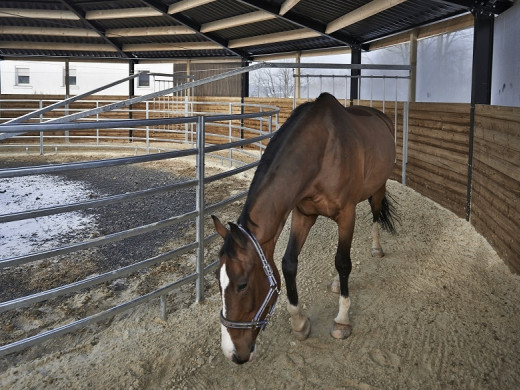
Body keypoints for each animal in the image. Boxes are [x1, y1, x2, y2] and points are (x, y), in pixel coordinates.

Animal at [213, 93, 396, 364]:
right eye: (218, 280)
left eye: (242, 285)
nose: (233, 353)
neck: (322, 151)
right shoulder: (302, 214)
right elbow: (289, 263)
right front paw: (299, 323)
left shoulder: (346, 213)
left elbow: (343, 262)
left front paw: (342, 321)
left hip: (377, 188)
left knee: (374, 217)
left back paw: (376, 249)